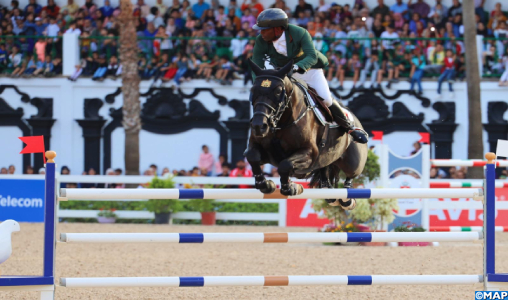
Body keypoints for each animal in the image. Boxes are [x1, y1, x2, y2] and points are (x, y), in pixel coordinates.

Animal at [244, 59, 368, 209]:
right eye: (253, 90)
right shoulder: (264, 152)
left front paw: (290, 188)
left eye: (278, 91)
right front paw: (266, 184)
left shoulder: (309, 153)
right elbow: (252, 156)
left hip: (353, 161)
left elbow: (285, 165)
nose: (258, 126)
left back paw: (347, 199)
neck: (281, 123)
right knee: (325, 171)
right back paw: (329, 192)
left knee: (351, 174)